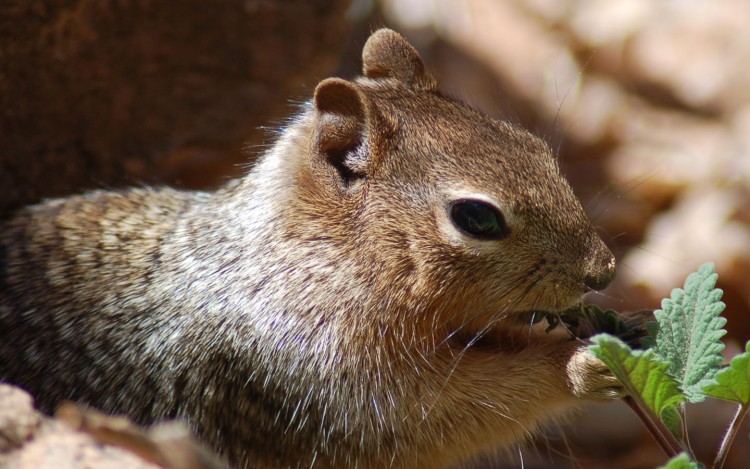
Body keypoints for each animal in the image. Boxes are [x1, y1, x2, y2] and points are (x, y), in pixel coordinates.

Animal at [0, 30, 624, 468]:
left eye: (532, 143)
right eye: (476, 217)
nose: (604, 271)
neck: (312, 255)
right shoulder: (327, 381)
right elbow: (457, 409)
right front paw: (580, 365)